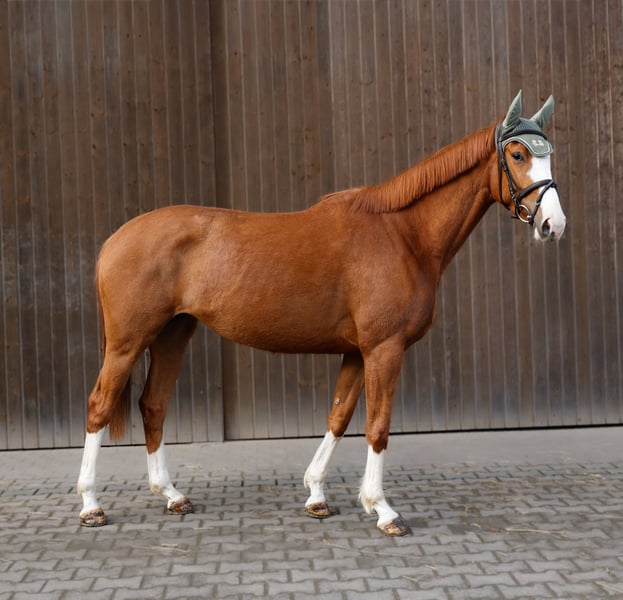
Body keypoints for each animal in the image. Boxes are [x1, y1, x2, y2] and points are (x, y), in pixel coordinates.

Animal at [77, 91, 566, 536]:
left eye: (549, 154)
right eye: (518, 154)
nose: (553, 226)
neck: (401, 234)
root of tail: (115, 239)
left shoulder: (356, 352)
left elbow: (339, 416)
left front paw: (316, 494)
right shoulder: (384, 349)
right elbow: (377, 427)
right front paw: (382, 509)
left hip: (172, 334)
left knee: (153, 404)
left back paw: (171, 495)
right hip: (127, 342)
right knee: (100, 405)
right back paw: (90, 505)